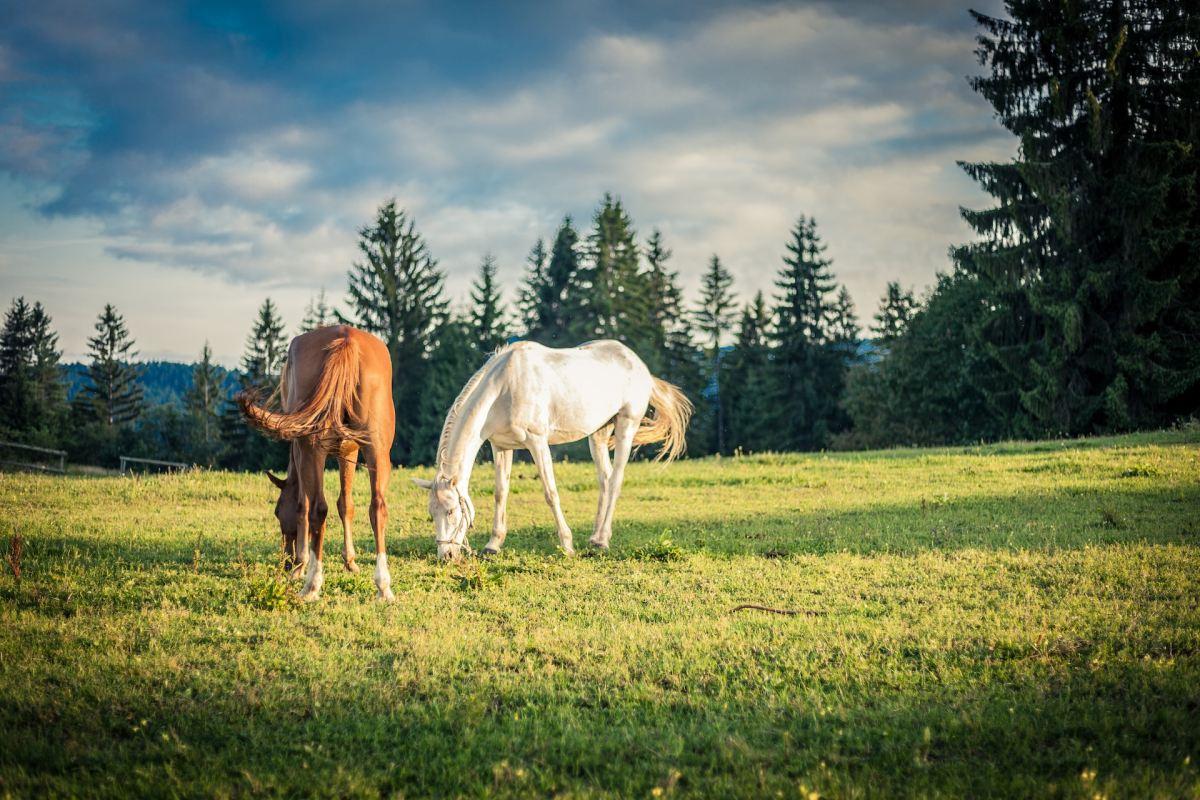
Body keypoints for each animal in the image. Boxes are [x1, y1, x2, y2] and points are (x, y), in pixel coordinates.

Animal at [240, 326, 398, 599]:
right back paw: (383, 585)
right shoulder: (350, 451)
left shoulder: (300, 451)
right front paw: (350, 561)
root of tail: (346, 339)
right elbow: (346, 505)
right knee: (377, 507)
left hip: (311, 450)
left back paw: (312, 584)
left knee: (316, 509)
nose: (286, 561)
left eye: (277, 512)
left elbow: (302, 506)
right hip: (376, 451)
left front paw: (301, 565)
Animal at [415, 340, 691, 561]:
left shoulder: (537, 443)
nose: (446, 555)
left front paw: (567, 545)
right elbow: (500, 493)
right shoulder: (501, 447)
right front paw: (493, 545)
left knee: (615, 481)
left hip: (626, 426)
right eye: (432, 513)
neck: (505, 387)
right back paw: (595, 538)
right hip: (598, 434)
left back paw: (602, 541)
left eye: (451, 511)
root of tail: (639, 365)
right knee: (605, 479)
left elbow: (551, 493)